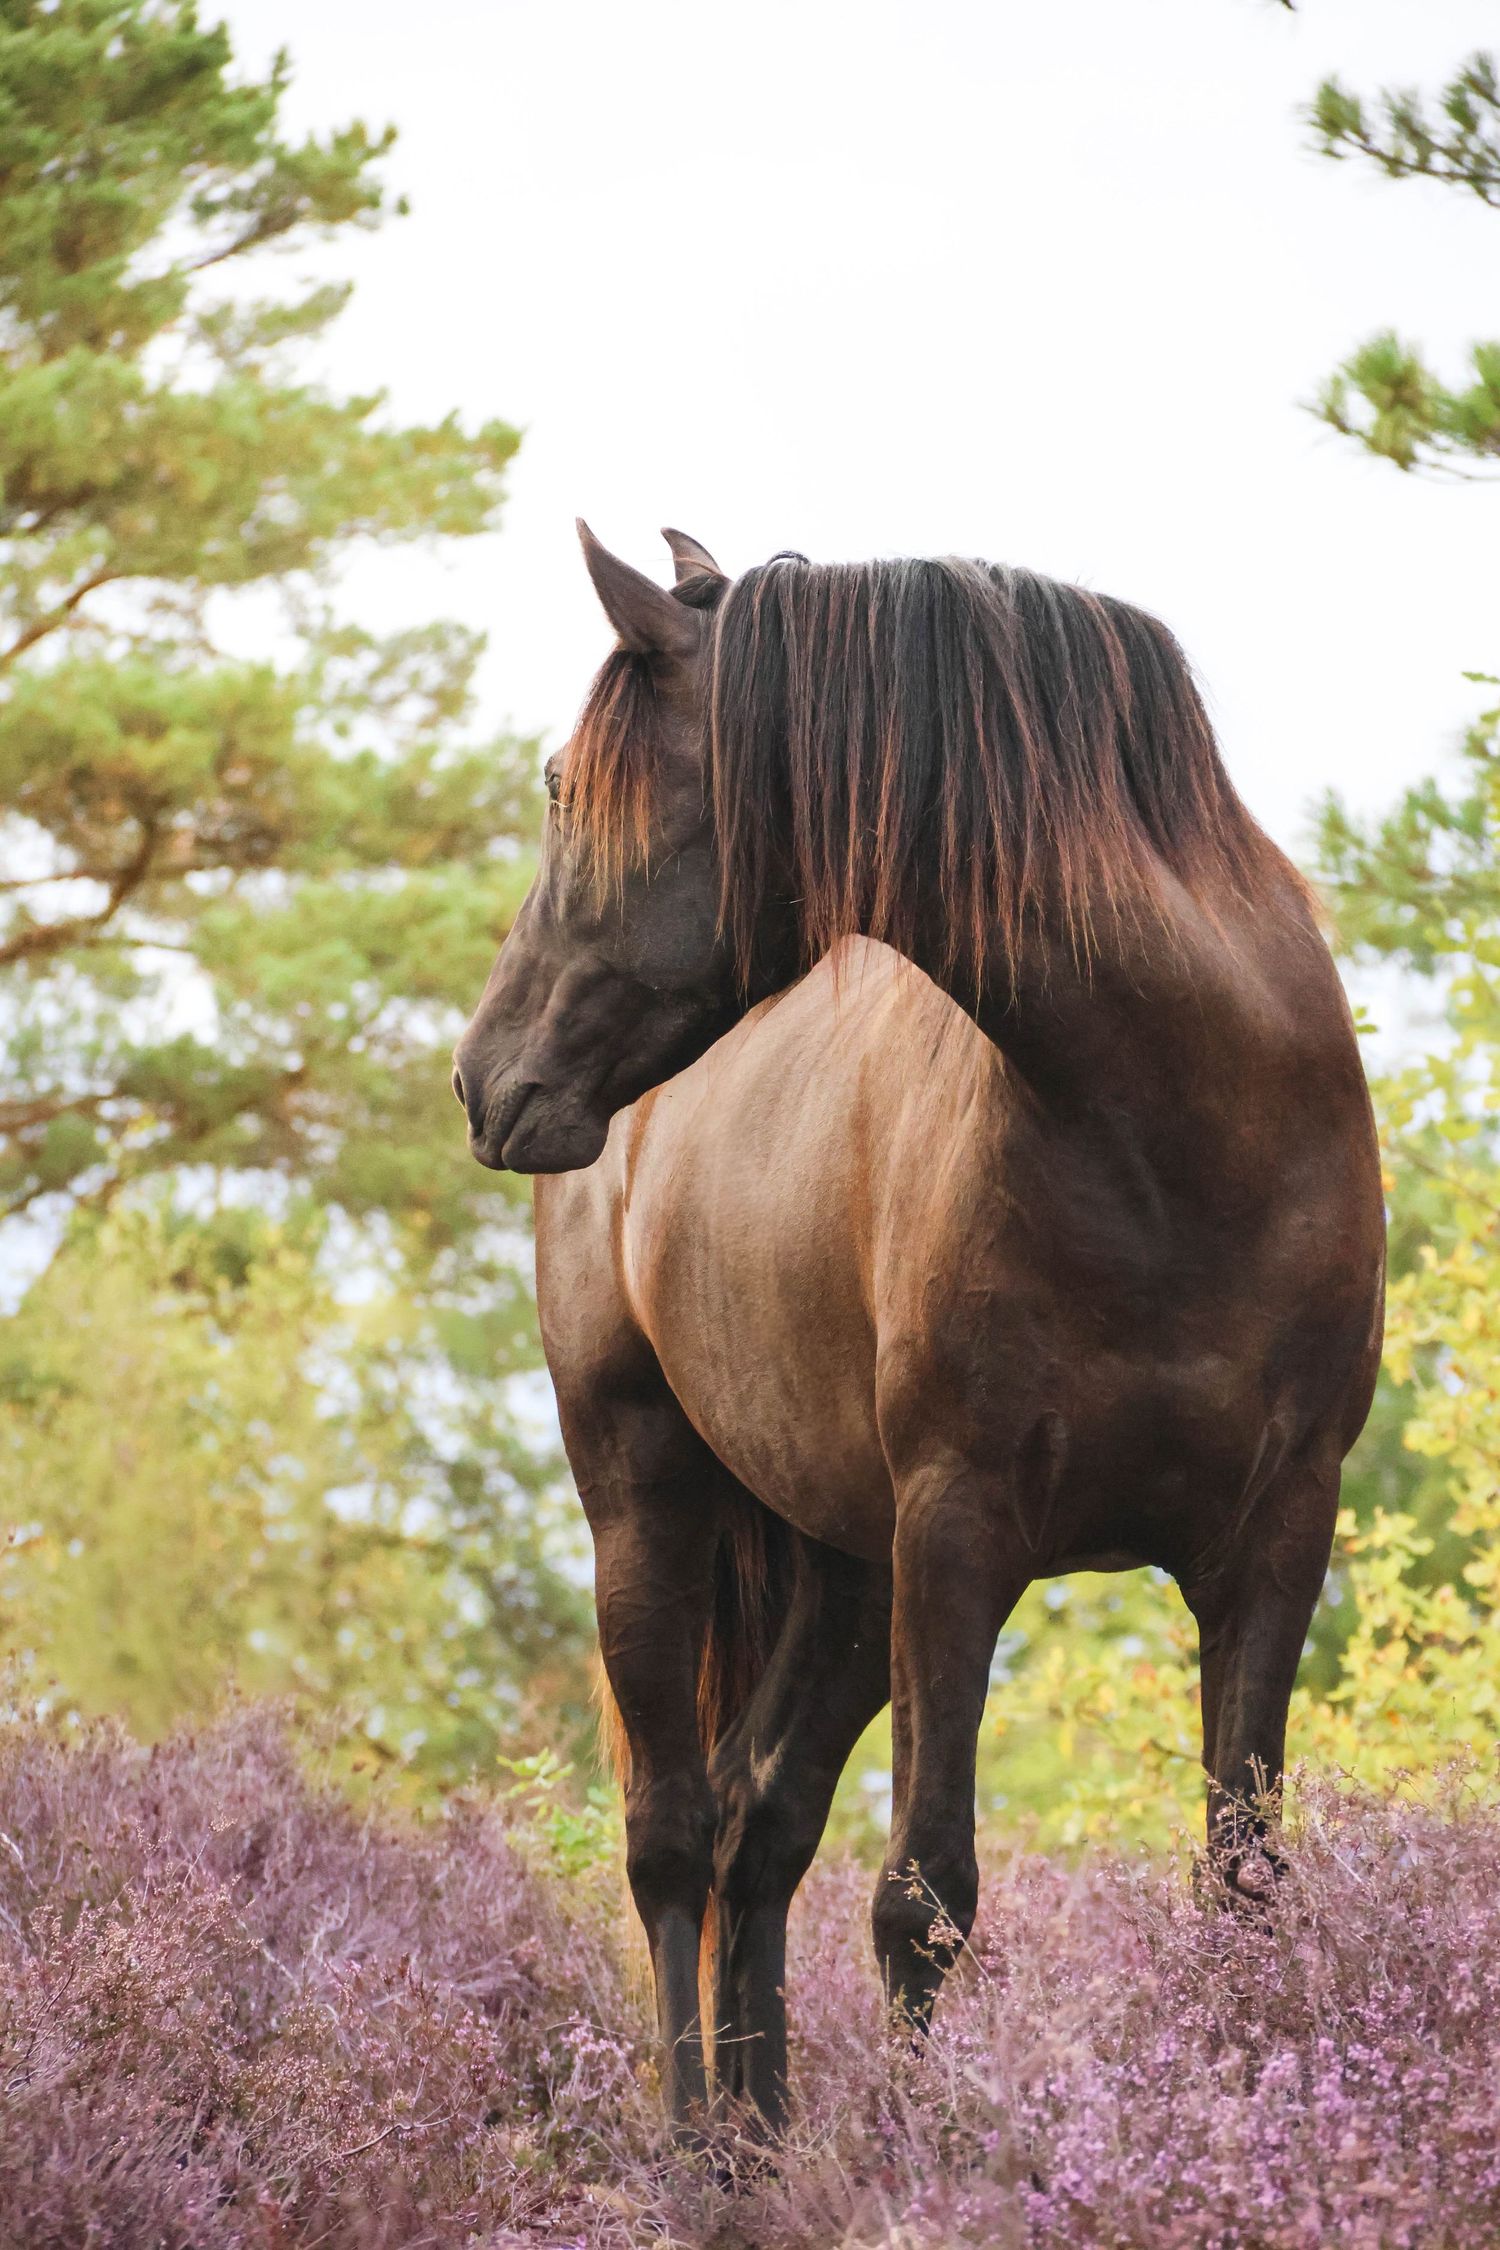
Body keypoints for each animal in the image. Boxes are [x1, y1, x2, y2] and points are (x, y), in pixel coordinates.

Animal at [453, 524, 1385, 2129]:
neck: (1182, 1125)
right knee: (671, 1835)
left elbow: (1242, 1877)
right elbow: (923, 1898)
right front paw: (926, 2151)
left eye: (566, 786)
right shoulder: (960, 1527)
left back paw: (761, 2147)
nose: (483, 1079)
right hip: (647, 1498)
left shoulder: (1277, 1534)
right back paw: (690, 2145)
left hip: (840, 1563)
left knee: (757, 1819)